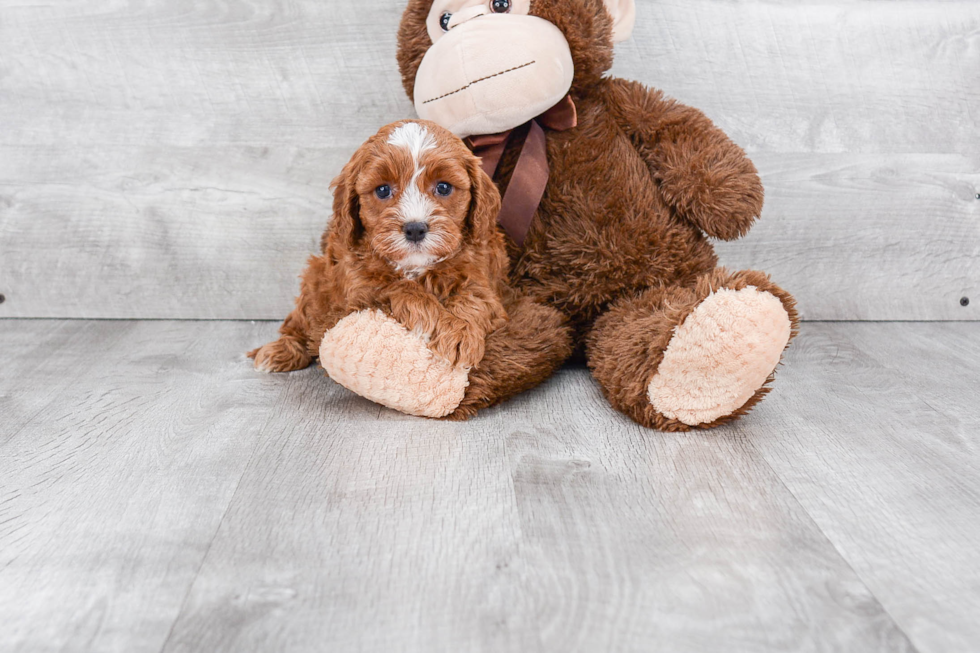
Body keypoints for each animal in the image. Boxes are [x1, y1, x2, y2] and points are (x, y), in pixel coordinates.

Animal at [247, 119, 506, 374]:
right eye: (383, 190)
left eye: (443, 187)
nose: (415, 229)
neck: (414, 265)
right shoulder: (359, 290)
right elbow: (402, 289)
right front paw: (449, 328)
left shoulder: (480, 276)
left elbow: (474, 299)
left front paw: (463, 333)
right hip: (315, 277)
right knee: (299, 321)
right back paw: (280, 350)